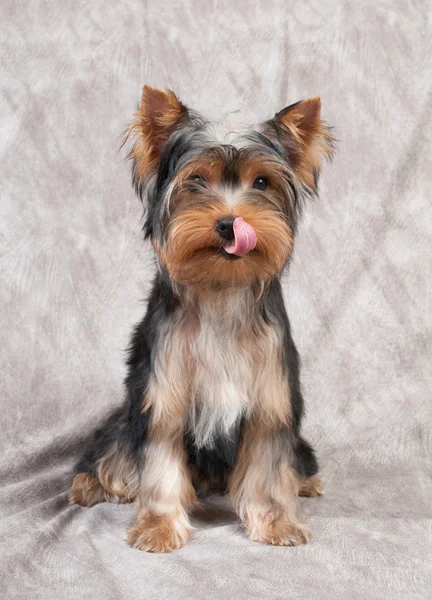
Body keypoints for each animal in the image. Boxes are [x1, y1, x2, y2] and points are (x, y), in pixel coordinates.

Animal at [70, 85, 334, 552]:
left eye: (261, 182)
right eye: (196, 181)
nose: (230, 223)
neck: (220, 288)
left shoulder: (270, 395)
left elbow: (268, 464)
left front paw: (276, 522)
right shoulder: (163, 391)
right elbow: (160, 462)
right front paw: (159, 527)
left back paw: (306, 482)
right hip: (126, 418)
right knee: (114, 452)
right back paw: (88, 484)